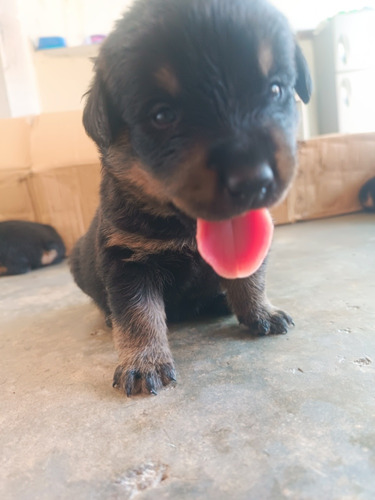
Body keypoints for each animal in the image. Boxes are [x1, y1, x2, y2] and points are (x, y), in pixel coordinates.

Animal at [70, 0, 312, 396]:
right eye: (162, 115)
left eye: (276, 89)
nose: (254, 180)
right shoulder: (127, 259)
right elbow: (138, 314)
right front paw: (144, 362)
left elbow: (250, 278)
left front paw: (261, 311)